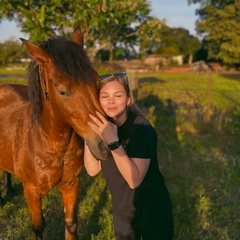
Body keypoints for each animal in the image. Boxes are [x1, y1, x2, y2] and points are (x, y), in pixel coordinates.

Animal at [0, 29, 109, 239]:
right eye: (62, 91)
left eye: (97, 81)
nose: (107, 144)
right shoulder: (32, 192)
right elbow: (38, 226)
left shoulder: (71, 184)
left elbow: (71, 224)